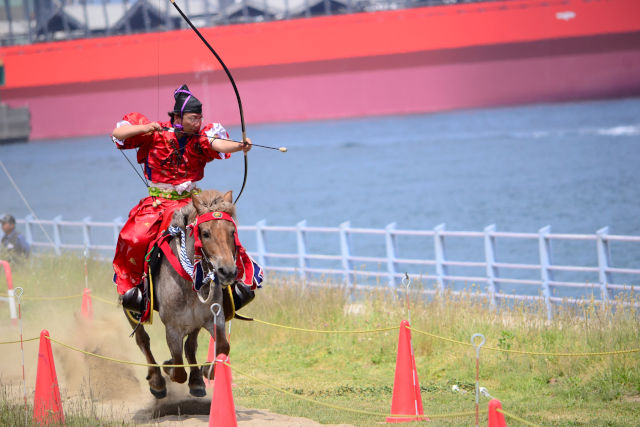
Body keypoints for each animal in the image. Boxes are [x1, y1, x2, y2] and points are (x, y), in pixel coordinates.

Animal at [124, 189, 239, 400]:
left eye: (232, 232)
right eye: (205, 233)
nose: (227, 271)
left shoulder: (213, 318)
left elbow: (222, 348)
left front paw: (206, 370)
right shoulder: (173, 327)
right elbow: (178, 369)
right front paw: (168, 366)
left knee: (190, 346)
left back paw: (196, 381)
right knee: (143, 340)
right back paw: (157, 381)